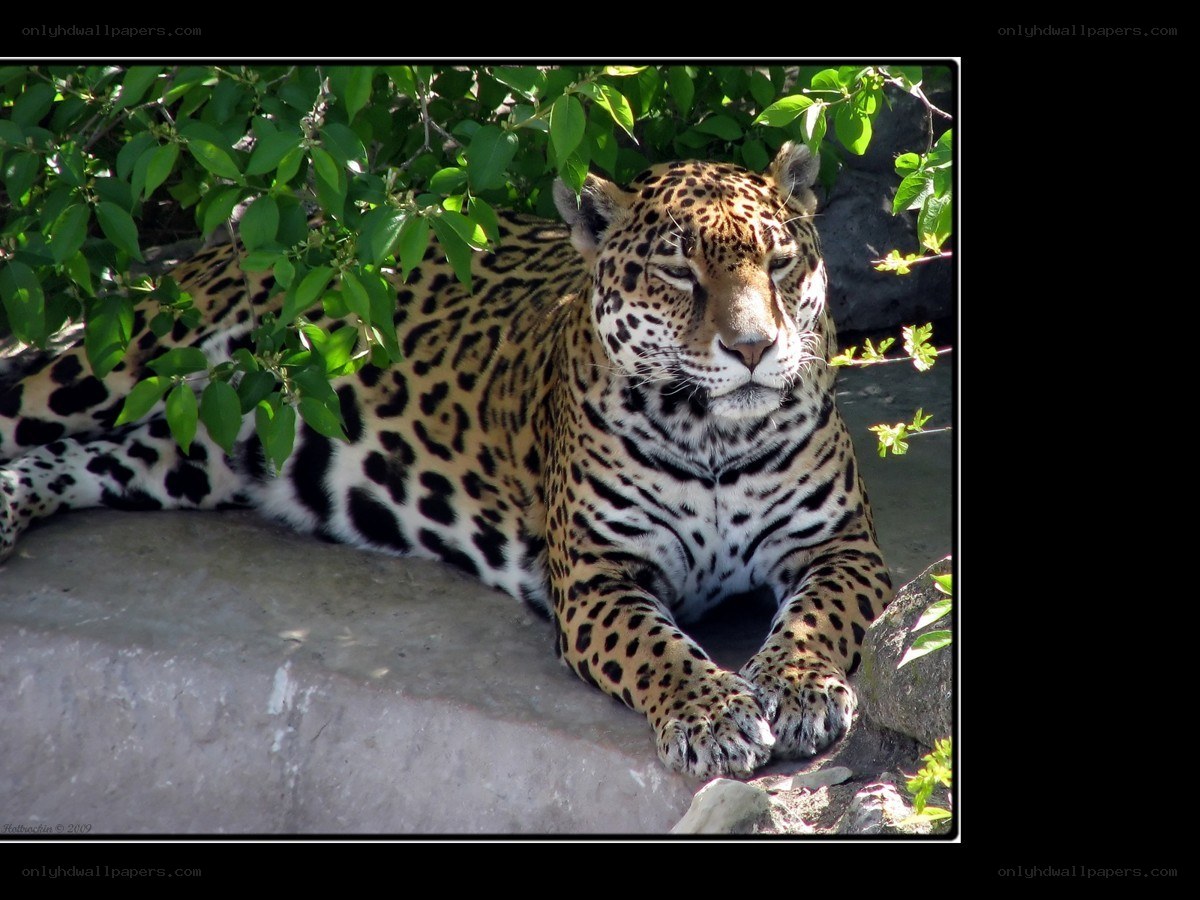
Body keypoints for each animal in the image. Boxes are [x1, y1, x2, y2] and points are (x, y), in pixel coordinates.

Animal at [0, 142, 892, 779]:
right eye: (679, 271)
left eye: (779, 262)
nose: (754, 348)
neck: (712, 437)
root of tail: (270, 233)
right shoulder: (600, 580)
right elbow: (661, 651)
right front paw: (715, 715)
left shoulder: (841, 548)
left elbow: (815, 618)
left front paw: (799, 688)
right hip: (125, 361)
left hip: (189, 454)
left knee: (90, 458)